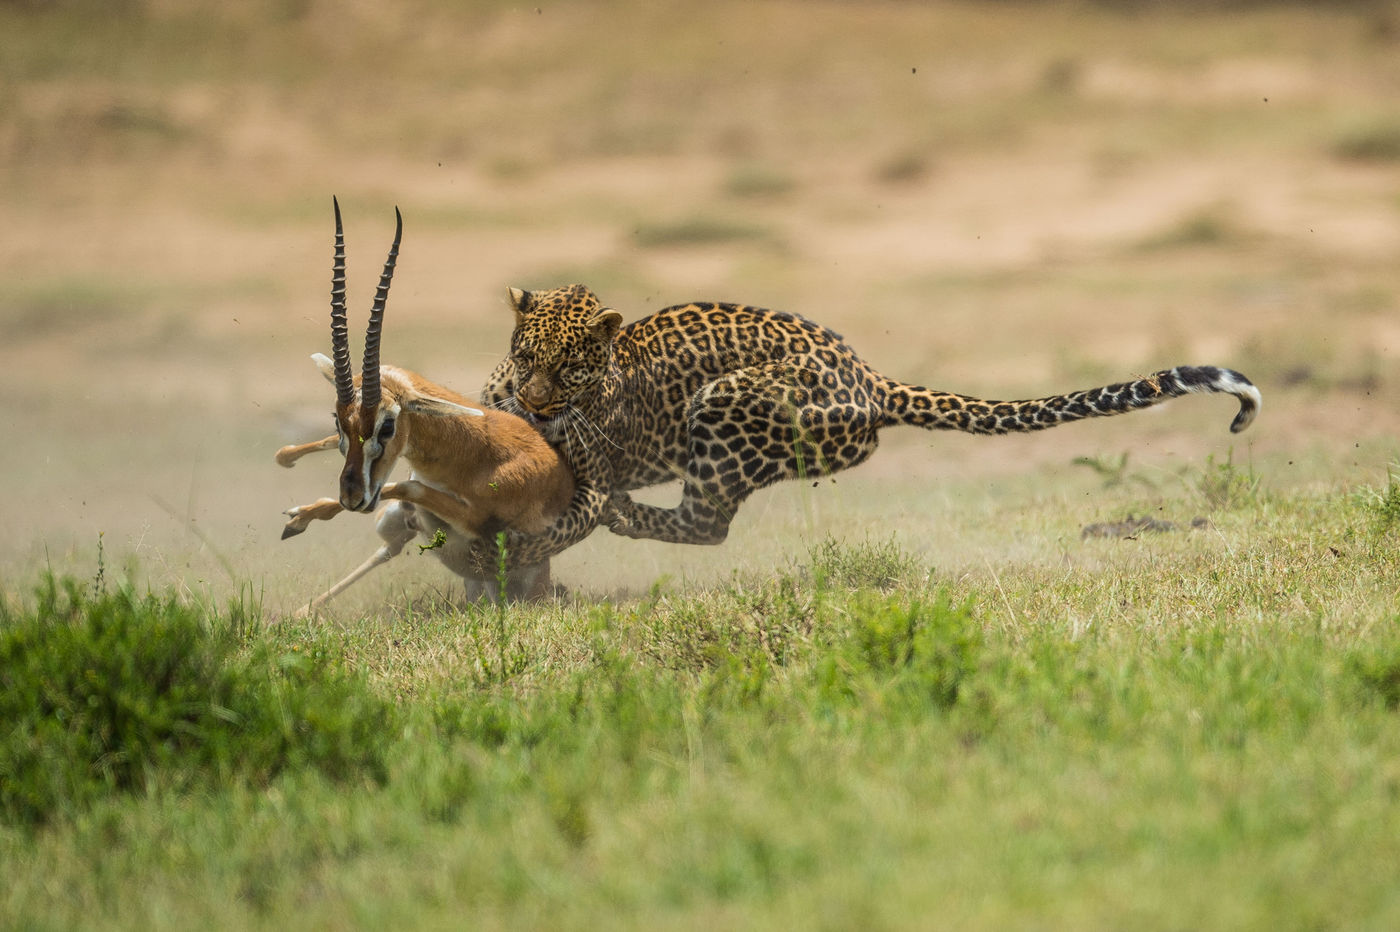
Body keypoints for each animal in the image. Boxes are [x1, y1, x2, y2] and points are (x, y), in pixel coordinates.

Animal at [476, 279, 1265, 562]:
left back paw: (626, 513)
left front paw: (534, 538)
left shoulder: (593, 458)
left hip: (727, 401)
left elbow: (577, 502)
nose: (536, 403)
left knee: (706, 522)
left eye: (570, 368)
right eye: (527, 354)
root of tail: (871, 377)